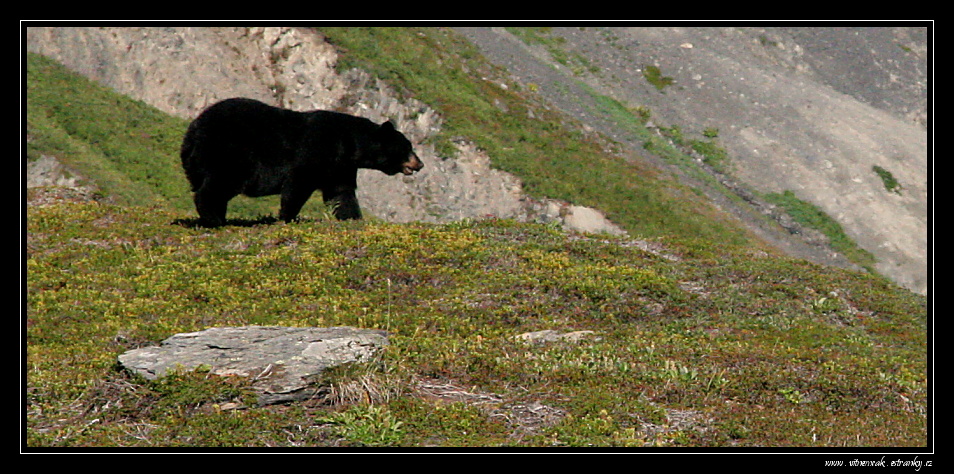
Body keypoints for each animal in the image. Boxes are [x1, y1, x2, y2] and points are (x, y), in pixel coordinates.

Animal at [180, 97, 418, 227]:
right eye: (408, 147)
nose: (419, 164)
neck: (349, 143)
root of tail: (193, 131)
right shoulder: (316, 152)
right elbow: (298, 185)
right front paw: (287, 217)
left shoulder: (340, 166)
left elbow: (341, 192)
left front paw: (352, 218)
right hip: (230, 151)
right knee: (221, 182)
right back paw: (213, 219)